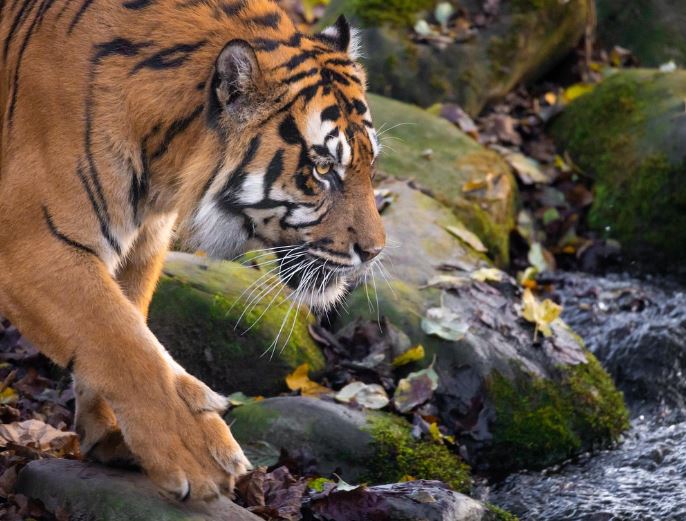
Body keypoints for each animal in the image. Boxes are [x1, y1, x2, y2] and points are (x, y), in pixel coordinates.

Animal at [0, 0, 386, 502]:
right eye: (322, 169)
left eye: (370, 164)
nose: (375, 251)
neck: (163, 155)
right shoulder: (33, 245)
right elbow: (123, 343)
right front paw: (199, 453)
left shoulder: (144, 239)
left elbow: (128, 320)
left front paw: (112, 436)